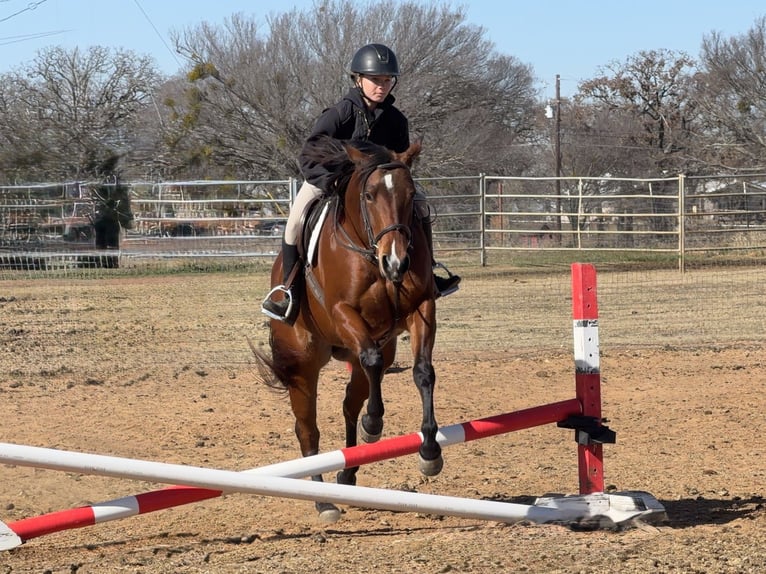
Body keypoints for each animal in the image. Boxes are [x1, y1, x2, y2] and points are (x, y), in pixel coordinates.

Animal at [252, 136, 442, 522]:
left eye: (410, 193)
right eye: (369, 195)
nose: (396, 262)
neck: (369, 249)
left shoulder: (422, 308)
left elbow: (423, 372)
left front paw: (429, 451)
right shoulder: (343, 312)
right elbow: (370, 361)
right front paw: (375, 424)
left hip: (374, 348)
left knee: (350, 403)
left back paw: (349, 472)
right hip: (303, 366)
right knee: (308, 429)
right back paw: (323, 500)